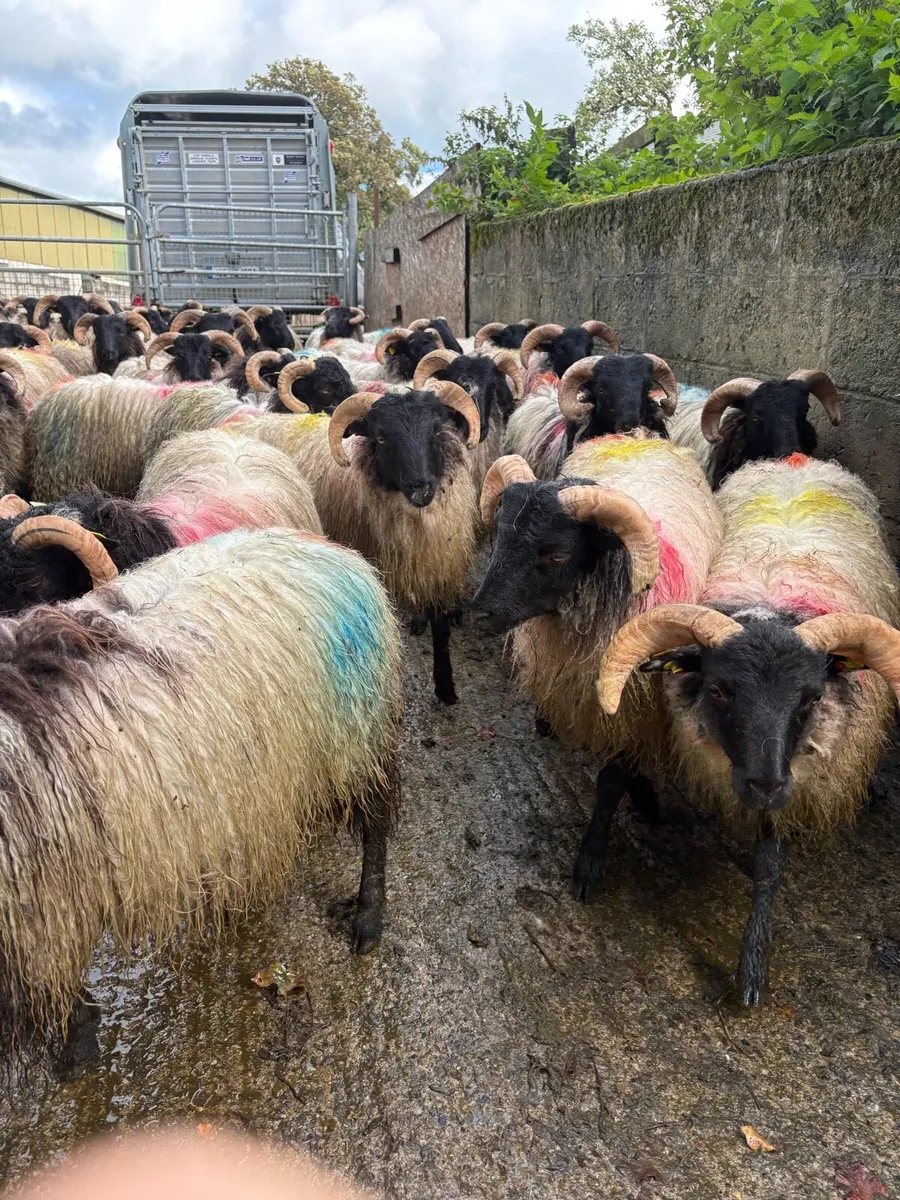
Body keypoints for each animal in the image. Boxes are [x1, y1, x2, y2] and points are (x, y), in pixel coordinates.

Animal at [0, 524, 403, 1048]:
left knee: (377, 822)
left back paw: (368, 921)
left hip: (358, 733)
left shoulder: (46, 907)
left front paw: (77, 1047)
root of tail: (336, 550)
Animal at [220, 384, 482, 704]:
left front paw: (446, 686)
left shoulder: (438, 567)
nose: (420, 488)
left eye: (435, 429)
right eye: (380, 437)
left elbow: (441, 630)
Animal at [473, 433, 723, 896]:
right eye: (499, 534)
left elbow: (612, 780)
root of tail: (641, 435)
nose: (481, 613)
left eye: (557, 554)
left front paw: (592, 858)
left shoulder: (635, 708)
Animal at [597, 453, 900, 1004]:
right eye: (719, 689)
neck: (770, 605)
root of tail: (796, 459)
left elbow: (769, 867)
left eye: (812, 697)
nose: (764, 784)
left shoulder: (795, 780)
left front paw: (753, 967)